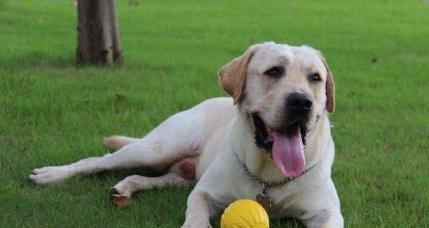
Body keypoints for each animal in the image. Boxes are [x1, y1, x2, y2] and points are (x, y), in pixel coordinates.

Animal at [30, 42, 342, 226]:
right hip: (157, 148)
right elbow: (196, 214)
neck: (268, 177)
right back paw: (52, 174)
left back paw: (123, 188)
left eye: (315, 78)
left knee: (148, 177)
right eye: (274, 71)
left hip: (180, 174)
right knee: (97, 161)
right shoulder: (203, 193)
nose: (301, 102)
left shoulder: (327, 213)